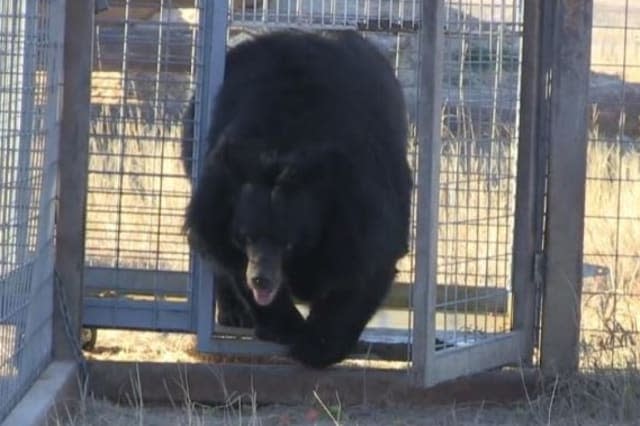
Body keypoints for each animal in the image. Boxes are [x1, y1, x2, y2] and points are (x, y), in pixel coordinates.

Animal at [184, 30, 416, 370]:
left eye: (288, 242)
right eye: (246, 236)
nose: (261, 281)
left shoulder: (362, 200)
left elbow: (368, 266)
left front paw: (317, 346)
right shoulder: (219, 192)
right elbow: (225, 253)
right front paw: (285, 327)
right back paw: (235, 314)